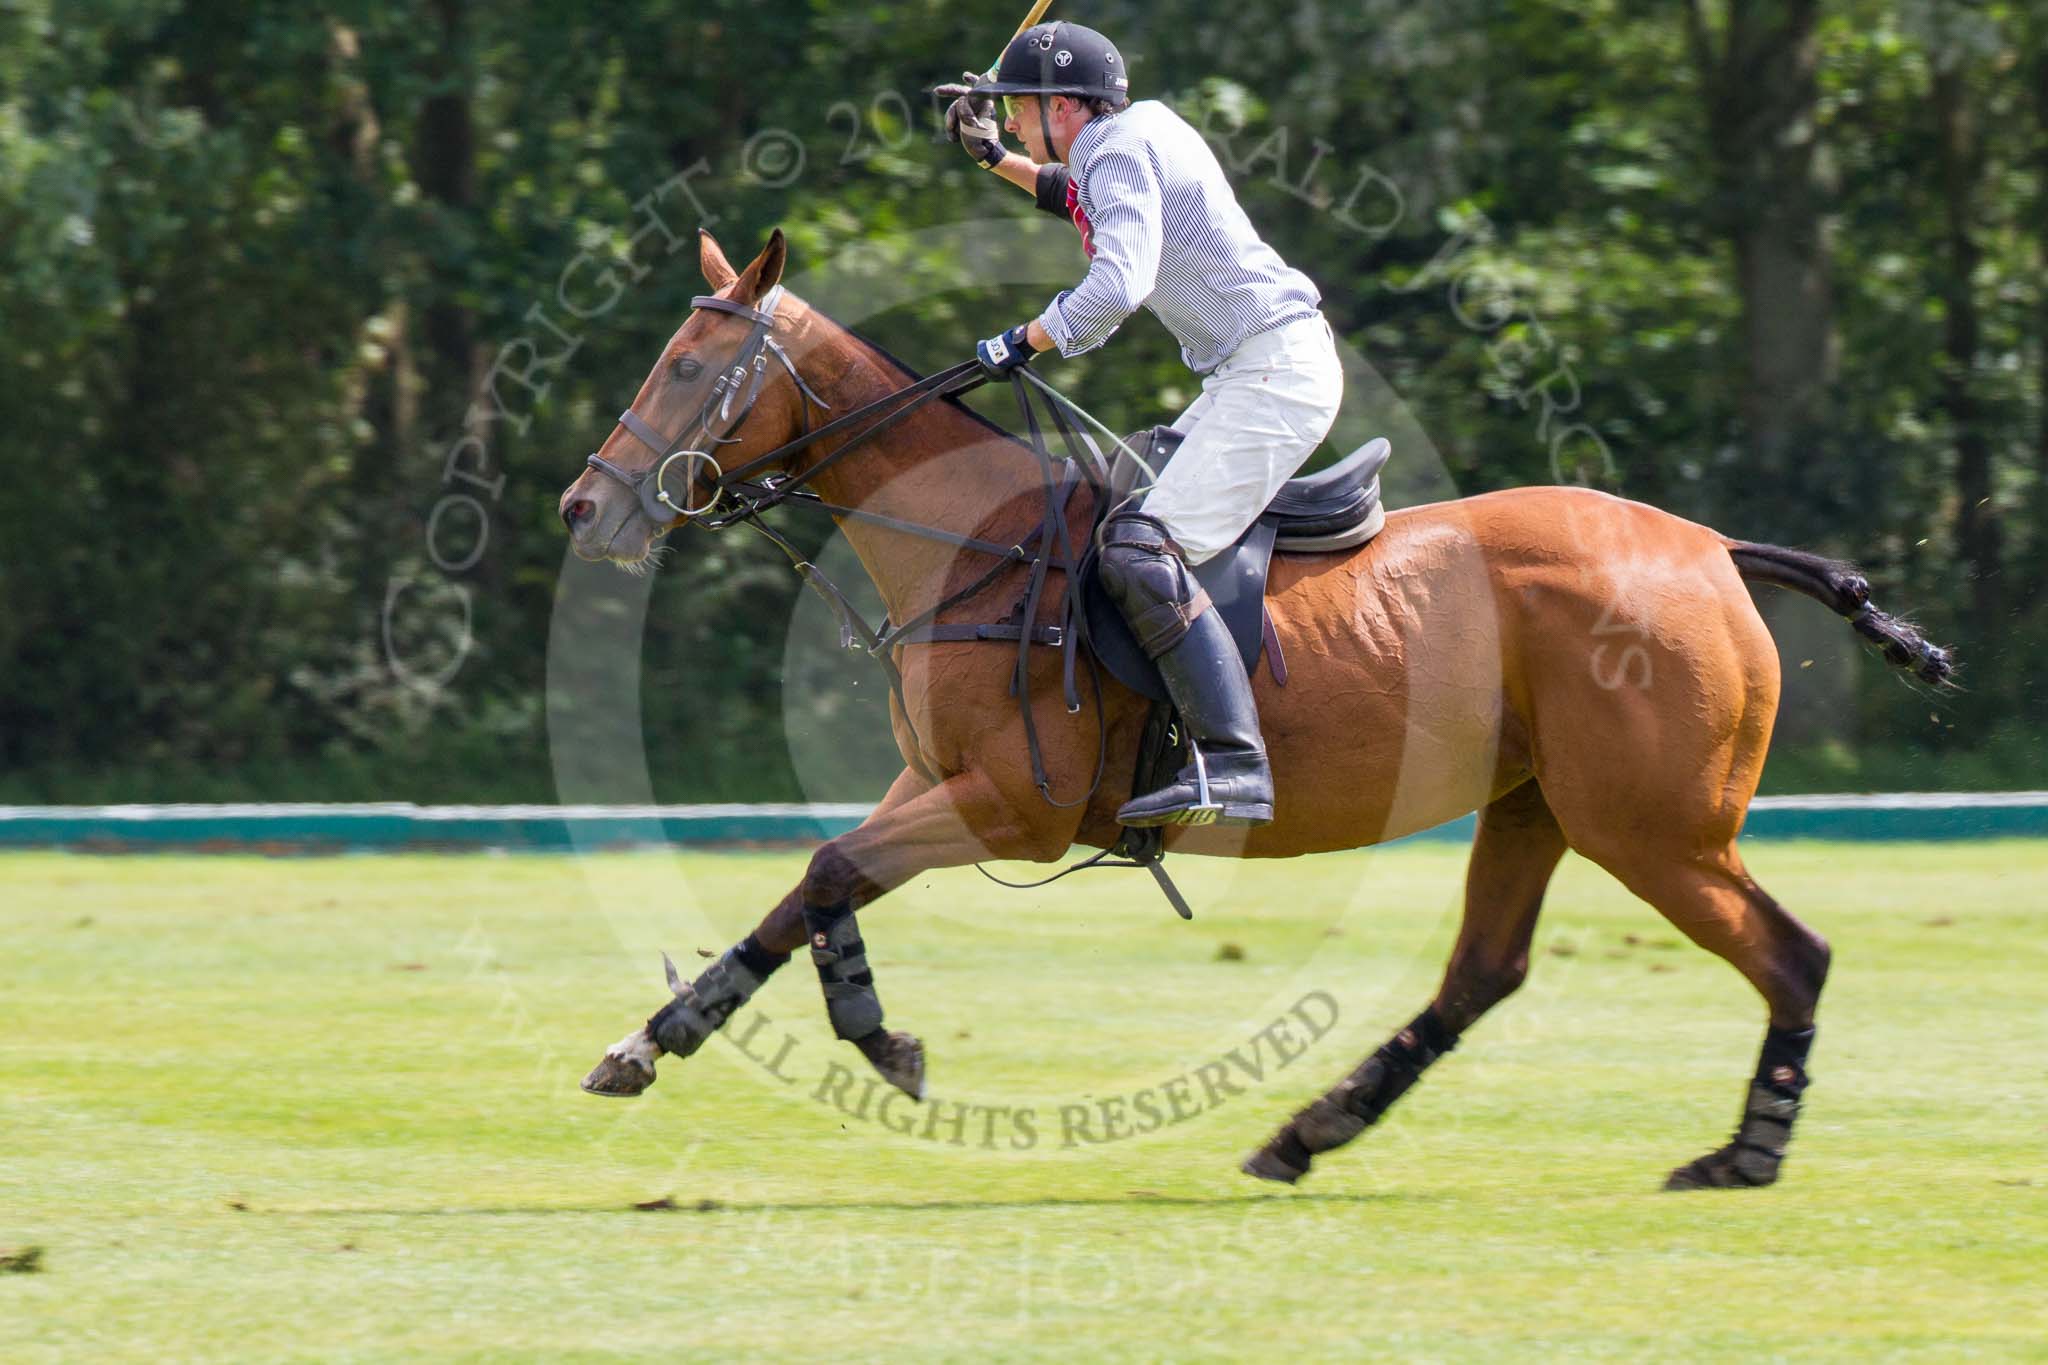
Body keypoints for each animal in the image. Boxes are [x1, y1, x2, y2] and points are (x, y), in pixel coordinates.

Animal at [548, 229, 1949, 1186]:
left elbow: (831, 866)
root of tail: (1711, 549)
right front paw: (659, 1041)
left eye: (688, 365)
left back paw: (1742, 1155)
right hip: (1536, 805)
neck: (971, 540)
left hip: (1652, 826)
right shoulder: (935, 786)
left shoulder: (1013, 808)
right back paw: (1308, 1130)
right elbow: (813, 882)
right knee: (1482, 973)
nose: (584, 507)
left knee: (1790, 954)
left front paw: (866, 1036)